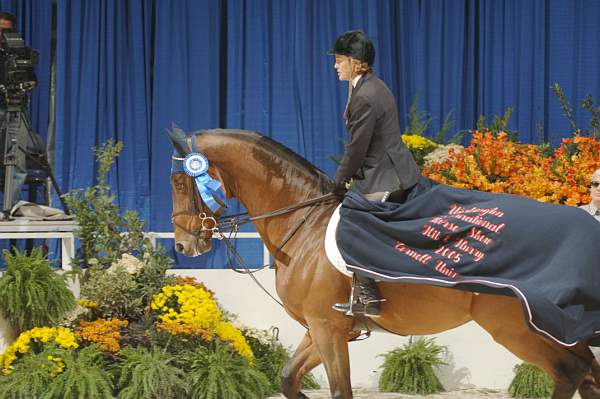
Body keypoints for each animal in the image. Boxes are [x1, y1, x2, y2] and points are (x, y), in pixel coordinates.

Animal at [168, 129, 600, 399]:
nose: (184, 244)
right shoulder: (323, 328)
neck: (303, 222)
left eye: (177, 181)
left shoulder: (326, 328)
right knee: (588, 372)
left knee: (571, 372)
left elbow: (340, 390)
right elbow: (288, 379)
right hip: (556, 330)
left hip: (517, 328)